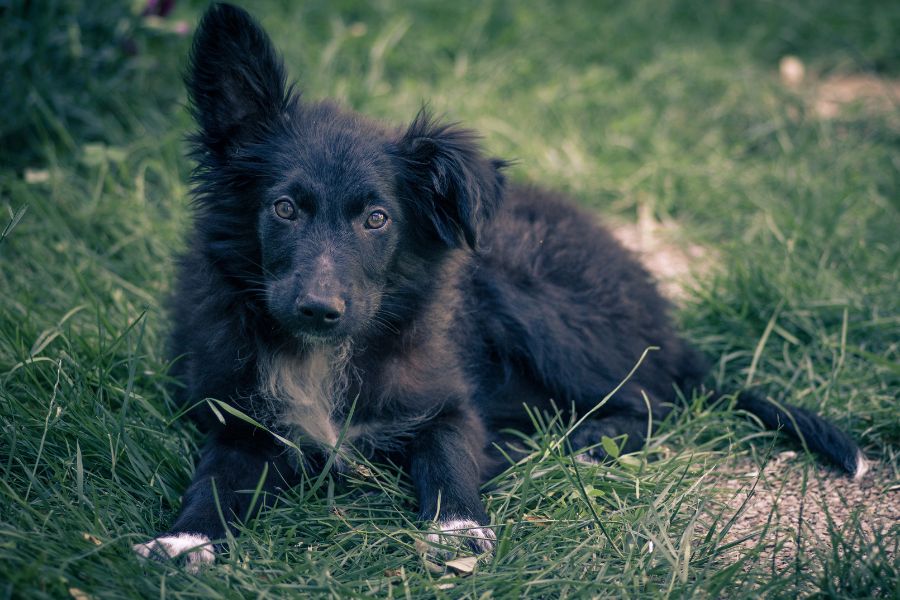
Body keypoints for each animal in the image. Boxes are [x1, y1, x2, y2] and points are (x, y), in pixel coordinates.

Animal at [132, 3, 864, 568]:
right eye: (284, 209)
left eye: (377, 219)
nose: (319, 308)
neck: (328, 356)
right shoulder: (240, 417)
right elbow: (215, 478)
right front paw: (183, 539)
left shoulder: (448, 398)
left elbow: (450, 454)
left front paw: (460, 528)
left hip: (531, 300)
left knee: (656, 404)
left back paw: (568, 444)